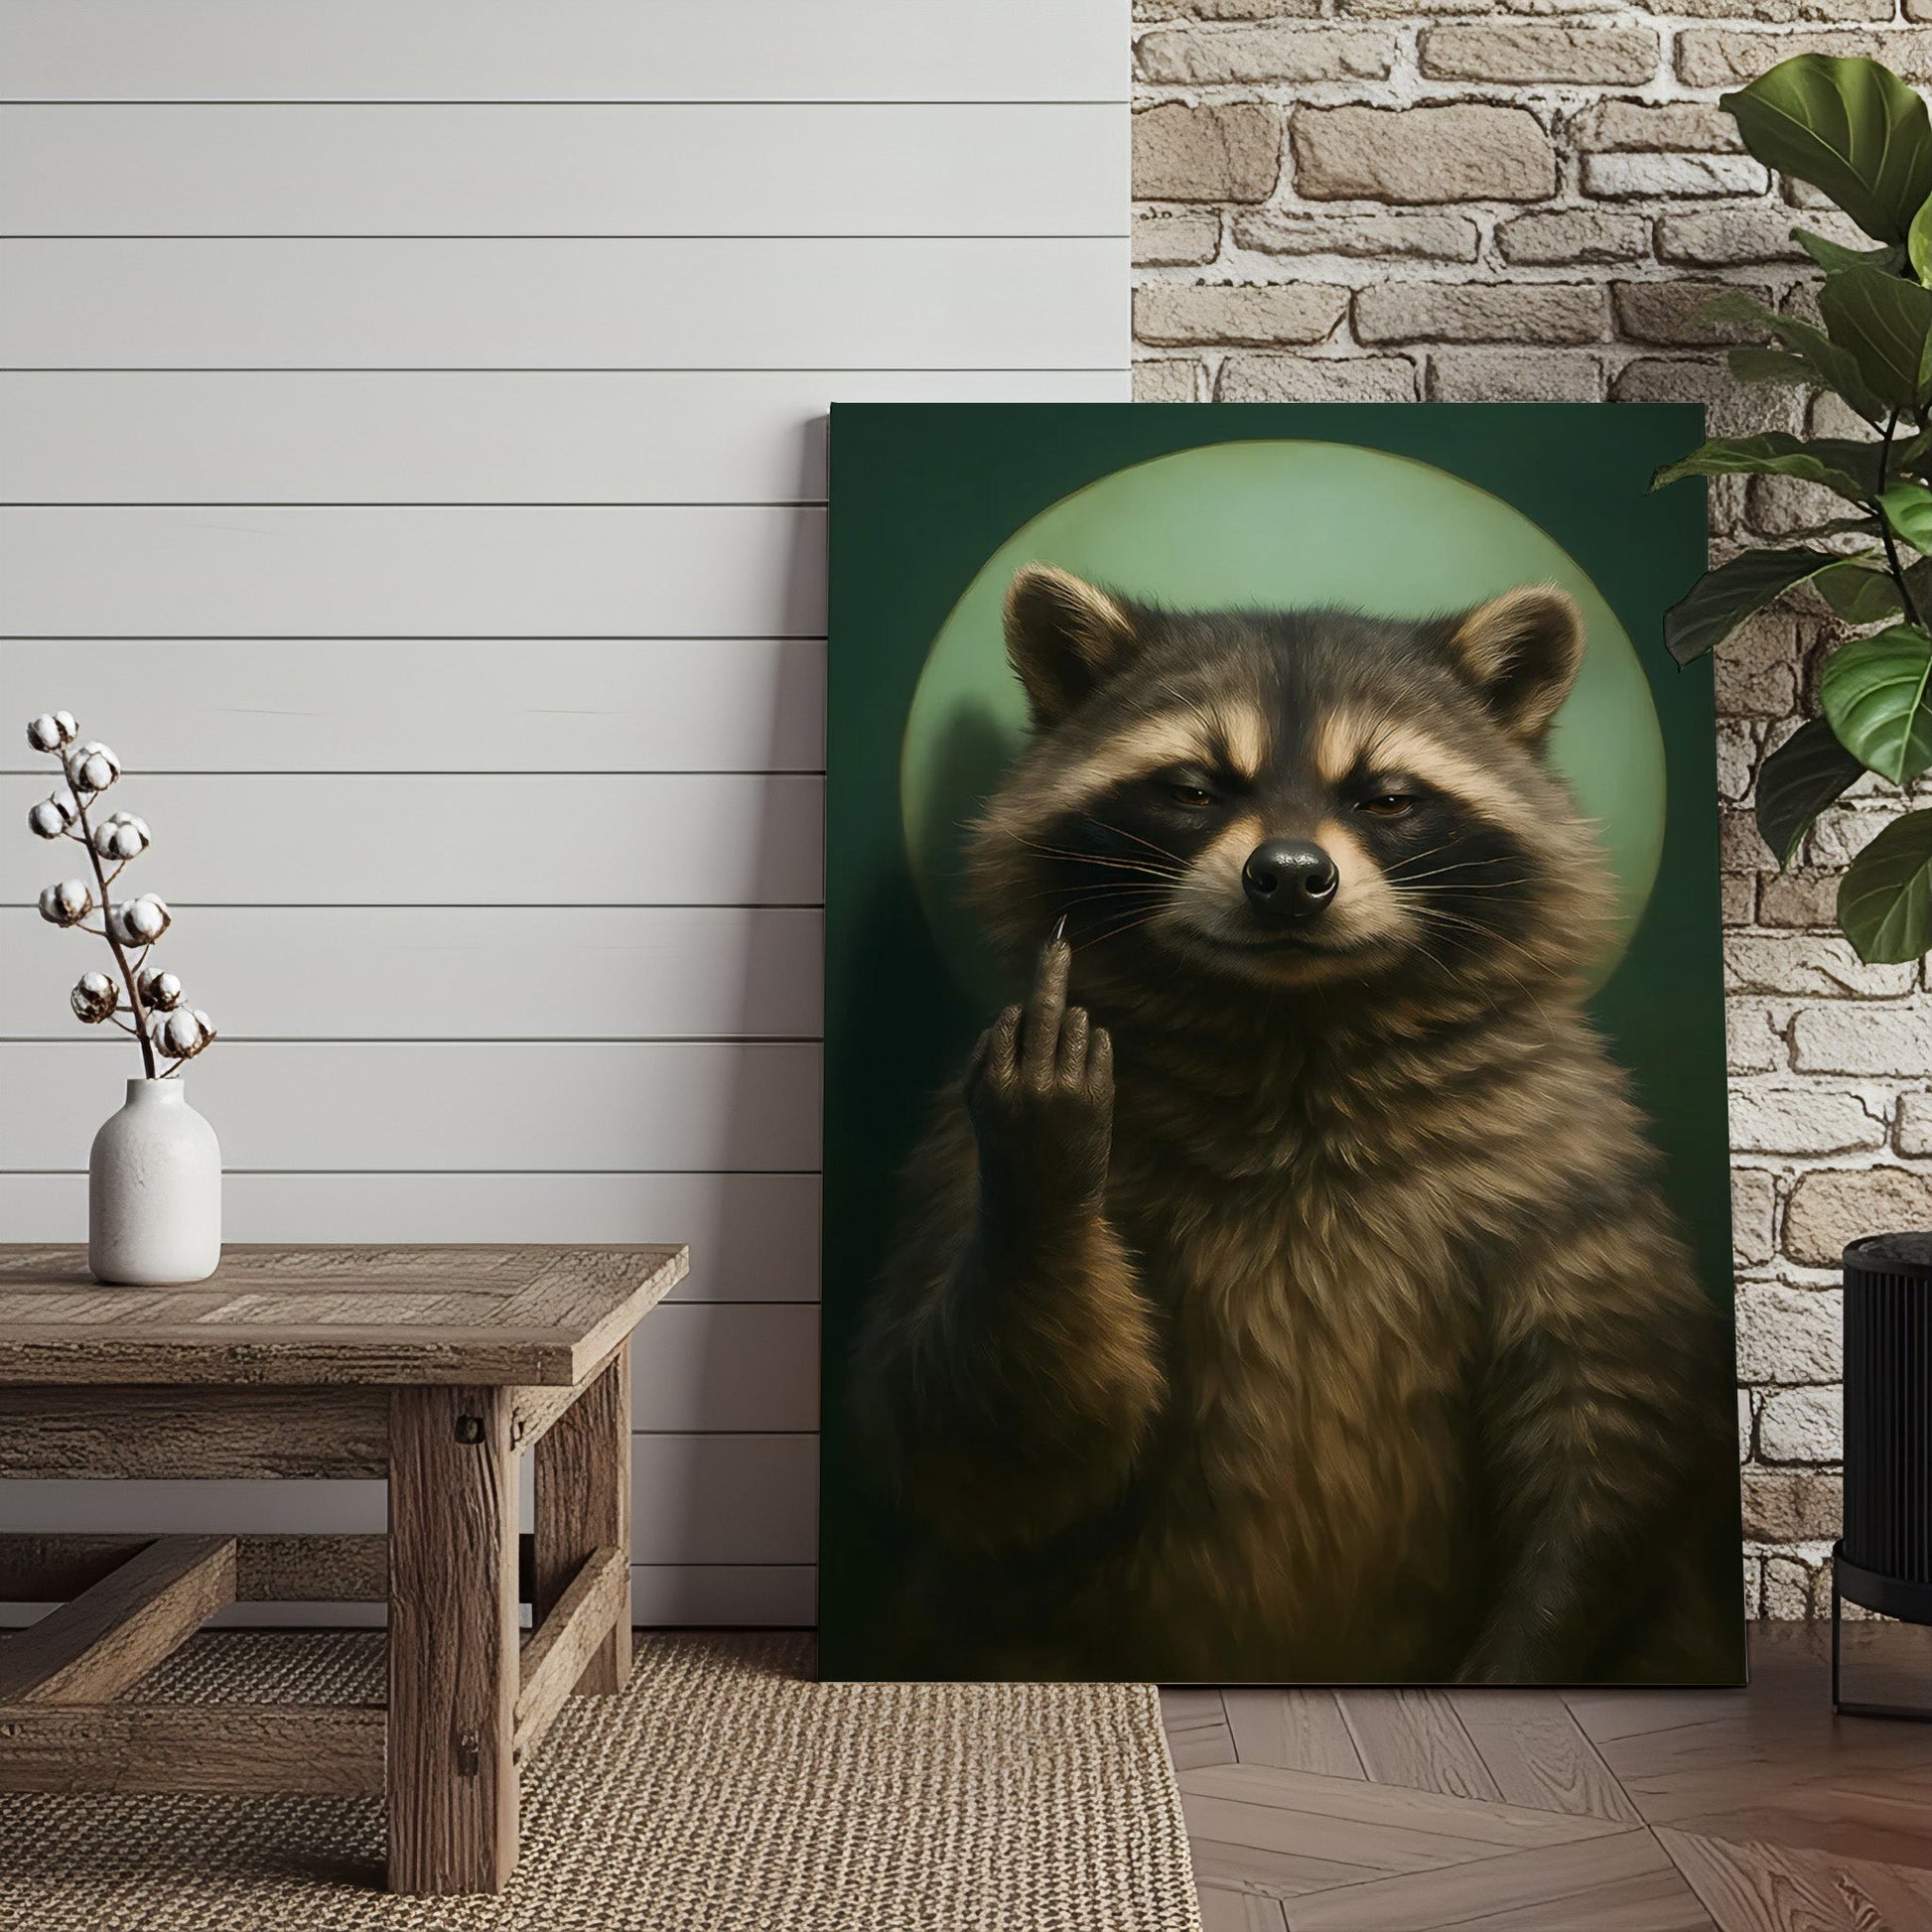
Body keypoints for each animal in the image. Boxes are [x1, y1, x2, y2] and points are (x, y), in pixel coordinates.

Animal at [850, 564, 1741, 1685]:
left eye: (1387, 797)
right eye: (1193, 788)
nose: (1286, 875)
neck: (1294, 1029)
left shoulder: (1564, 1151)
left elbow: (1616, 1425)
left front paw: (1525, 1655)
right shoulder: (953, 1164)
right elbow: (982, 1444)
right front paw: (1045, 1182)